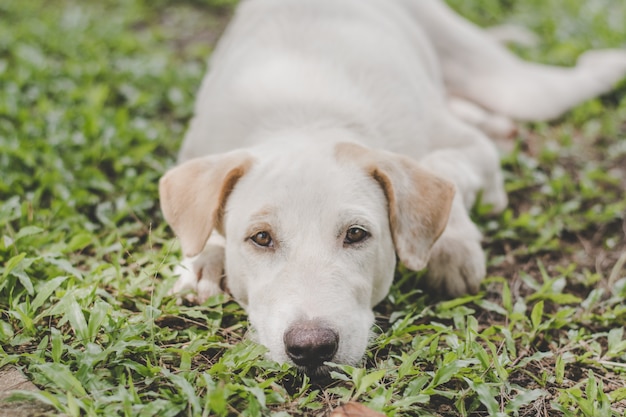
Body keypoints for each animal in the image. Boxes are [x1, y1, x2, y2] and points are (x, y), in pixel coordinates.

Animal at [160, 0, 624, 376]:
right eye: (260, 238)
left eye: (356, 234)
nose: (311, 349)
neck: (306, 115)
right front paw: (204, 258)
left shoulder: (474, 155)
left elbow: (441, 169)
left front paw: (451, 245)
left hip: (515, 87)